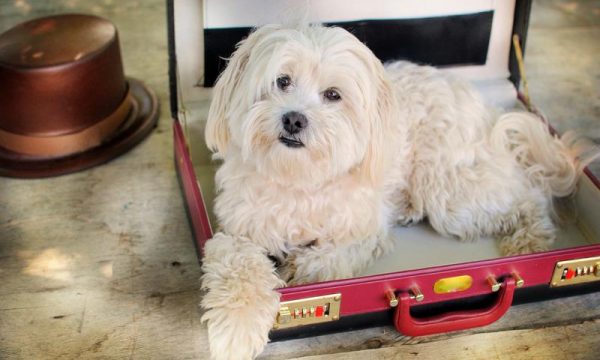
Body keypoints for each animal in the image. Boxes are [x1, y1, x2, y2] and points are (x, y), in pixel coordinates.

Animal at [199, 23, 592, 358]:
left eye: (332, 95)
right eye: (282, 80)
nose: (294, 118)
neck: (299, 177)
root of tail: (485, 105)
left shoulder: (365, 230)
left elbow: (330, 258)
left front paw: (303, 269)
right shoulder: (236, 233)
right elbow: (238, 271)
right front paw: (235, 332)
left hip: (451, 194)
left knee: (529, 194)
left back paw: (530, 241)